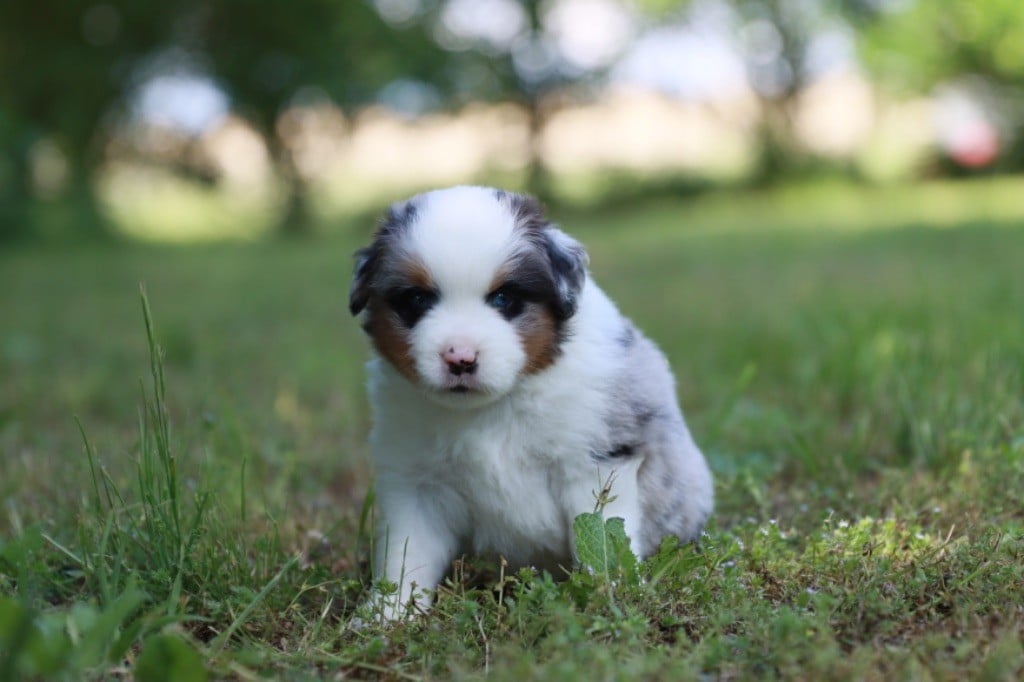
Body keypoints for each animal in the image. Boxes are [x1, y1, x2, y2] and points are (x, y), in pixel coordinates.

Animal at [350, 184, 712, 614]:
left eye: (504, 299)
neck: (494, 406)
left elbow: (599, 541)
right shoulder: (415, 484)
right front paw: (387, 615)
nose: (460, 358)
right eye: (418, 300)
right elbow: (406, 557)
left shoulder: (593, 466)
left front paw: (607, 598)